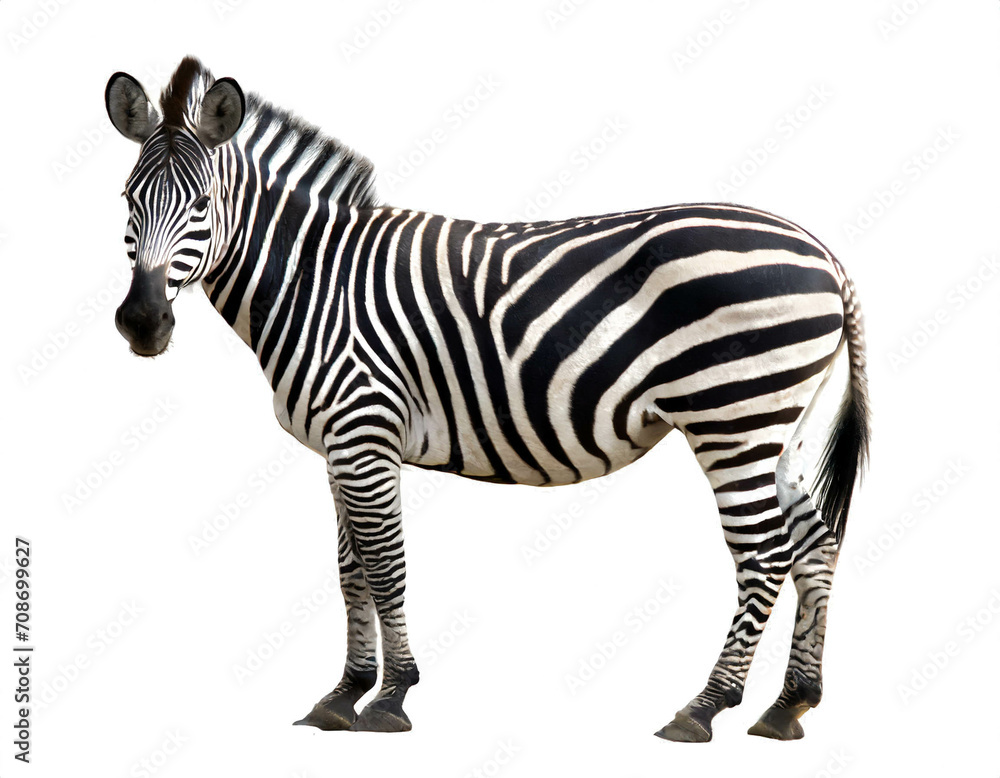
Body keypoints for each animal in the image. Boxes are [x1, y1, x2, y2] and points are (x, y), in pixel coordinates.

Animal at [106, 57, 869, 742]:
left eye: (202, 207)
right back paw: (789, 706)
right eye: (127, 202)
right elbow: (351, 569)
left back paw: (704, 708)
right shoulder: (339, 445)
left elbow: (386, 564)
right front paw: (344, 694)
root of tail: (824, 253)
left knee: (763, 553)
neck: (313, 280)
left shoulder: (365, 431)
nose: (142, 324)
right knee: (816, 544)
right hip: (778, 427)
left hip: (732, 416)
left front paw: (391, 696)